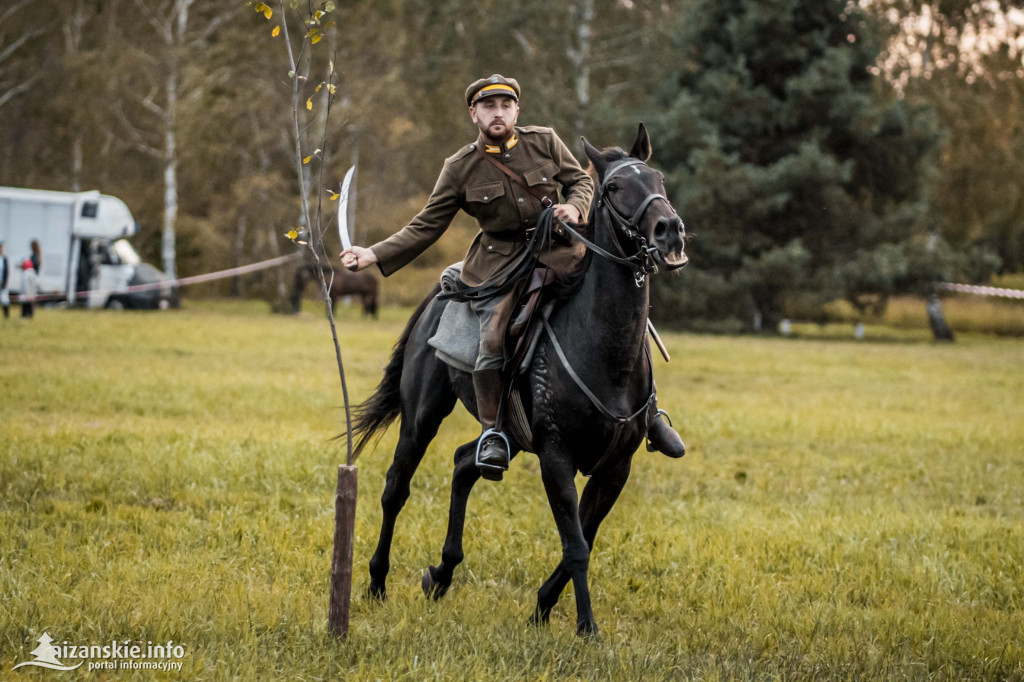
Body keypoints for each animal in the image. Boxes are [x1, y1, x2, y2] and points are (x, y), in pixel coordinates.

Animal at [348, 124, 684, 634]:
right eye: (613, 187)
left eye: (659, 178)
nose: (670, 231)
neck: (606, 354)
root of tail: (443, 292)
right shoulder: (555, 457)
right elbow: (576, 545)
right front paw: (585, 627)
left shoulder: (615, 467)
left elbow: (583, 538)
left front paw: (543, 607)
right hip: (422, 417)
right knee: (396, 488)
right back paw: (376, 582)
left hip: (503, 432)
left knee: (466, 462)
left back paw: (441, 574)